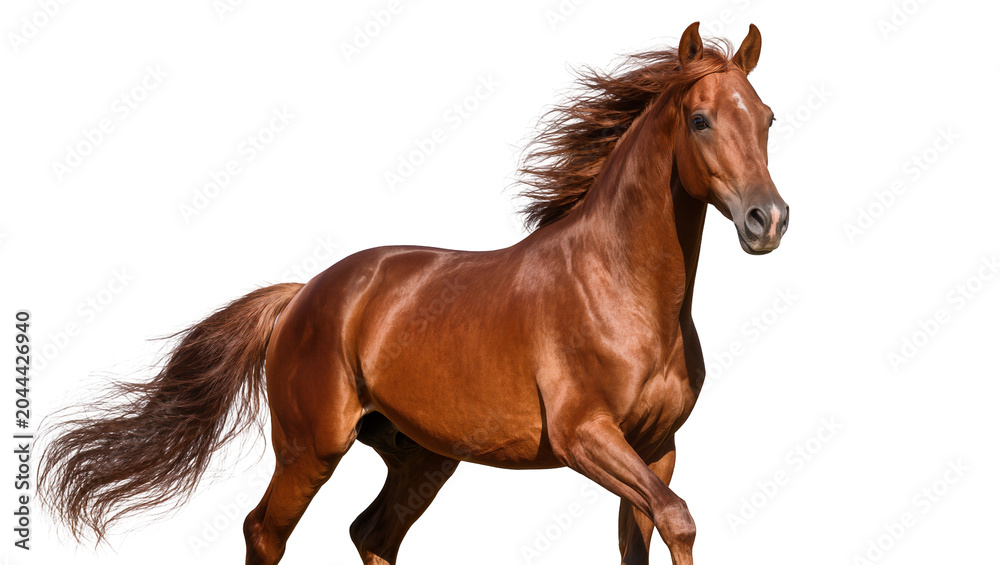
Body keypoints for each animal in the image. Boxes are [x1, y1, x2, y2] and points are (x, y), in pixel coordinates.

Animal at [39, 22, 788, 565]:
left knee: (372, 532)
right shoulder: (585, 435)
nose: (768, 220)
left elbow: (651, 534)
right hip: (311, 448)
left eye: (768, 118)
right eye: (700, 119)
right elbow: (678, 516)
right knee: (265, 530)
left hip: (423, 455)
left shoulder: (655, 445)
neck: (619, 290)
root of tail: (306, 293)